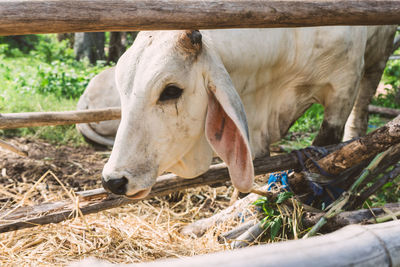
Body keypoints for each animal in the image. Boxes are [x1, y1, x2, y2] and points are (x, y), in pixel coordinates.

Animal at [77, 26, 394, 199]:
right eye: (122, 88)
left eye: (171, 91)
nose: (113, 181)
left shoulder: (343, 87)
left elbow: (327, 147)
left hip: (378, 55)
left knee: (364, 102)